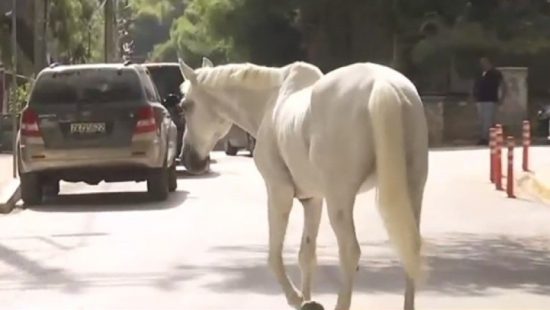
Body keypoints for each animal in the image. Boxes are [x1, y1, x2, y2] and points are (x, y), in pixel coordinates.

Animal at [179, 56, 430, 310]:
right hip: (413, 189)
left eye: (185, 106)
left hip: (340, 200)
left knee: (350, 252)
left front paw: (298, 298)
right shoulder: (313, 199)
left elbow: (274, 256)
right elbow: (306, 254)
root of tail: (383, 85)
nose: (189, 159)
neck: (271, 103)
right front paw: (308, 300)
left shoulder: (278, 191)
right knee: (411, 246)